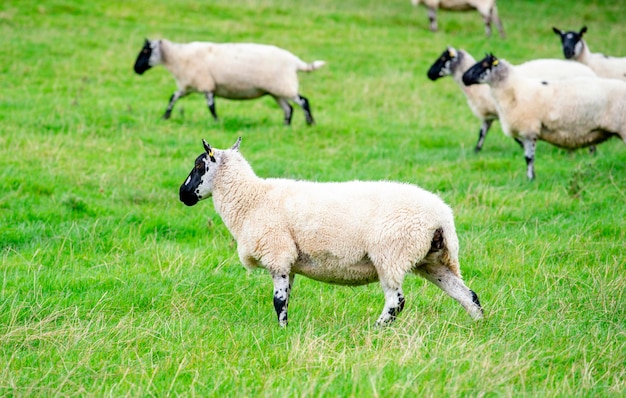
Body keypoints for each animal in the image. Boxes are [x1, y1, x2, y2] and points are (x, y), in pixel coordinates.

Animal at [133, 38, 324, 126]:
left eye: (145, 51)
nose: (136, 69)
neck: (177, 58)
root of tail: (295, 61)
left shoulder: (205, 84)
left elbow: (211, 106)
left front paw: (217, 121)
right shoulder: (188, 86)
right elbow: (172, 98)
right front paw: (165, 116)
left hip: (285, 86)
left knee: (303, 101)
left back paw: (310, 123)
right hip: (276, 91)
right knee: (288, 109)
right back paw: (286, 126)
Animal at [178, 137, 480, 326]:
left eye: (199, 165)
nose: (182, 194)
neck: (252, 198)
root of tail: (442, 217)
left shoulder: (278, 254)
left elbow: (278, 300)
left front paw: (282, 331)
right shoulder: (288, 260)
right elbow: (286, 298)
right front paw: (285, 329)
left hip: (391, 255)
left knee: (396, 301)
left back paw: (375, 329)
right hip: (434, 261)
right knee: (467, 295)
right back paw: (480, 325)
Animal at [424, 46, 596, 152]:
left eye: (443, 59)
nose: (429, 74)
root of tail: (590, 72)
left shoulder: (507, 113)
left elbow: (513, 135)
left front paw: (523, 145)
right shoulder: (489, 115)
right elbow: (482, 134)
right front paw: (476, 151)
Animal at [458, 52, 624, 179]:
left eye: (484, 65)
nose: (464, 78)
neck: (513, 89)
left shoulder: (529, 130)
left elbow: (529, 158)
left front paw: (530, 179)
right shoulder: (526, 132)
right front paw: (531, 178)